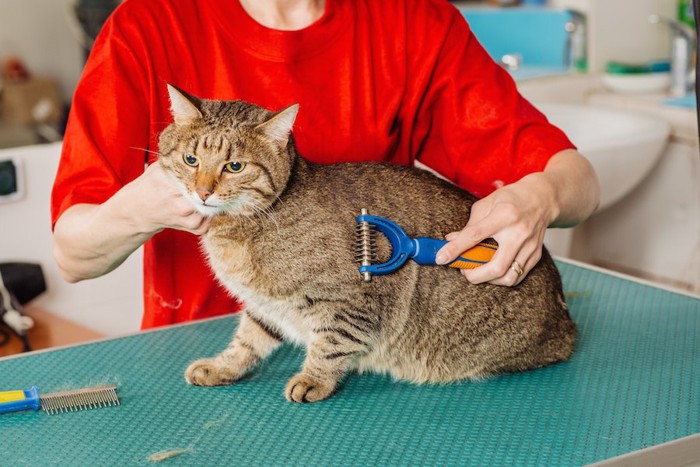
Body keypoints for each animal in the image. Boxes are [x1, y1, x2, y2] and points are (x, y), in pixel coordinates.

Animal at [157, 83, 576, 402]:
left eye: (234, 167)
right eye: (191, 160)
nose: (203, 192)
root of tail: (566, 320)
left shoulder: (348, 301)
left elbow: (330, 344)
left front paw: (313, 380)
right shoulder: (265, 305)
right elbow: (247, 341)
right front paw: (222, 367)